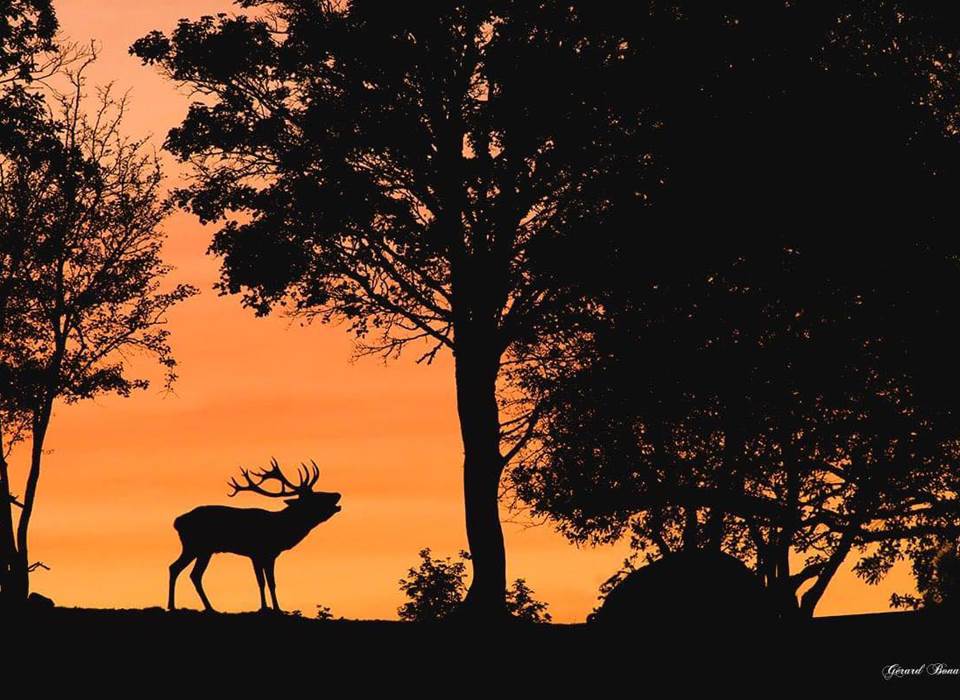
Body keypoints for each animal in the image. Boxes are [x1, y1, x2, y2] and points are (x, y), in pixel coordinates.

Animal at [168, 458, 342, 613]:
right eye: (316, 497)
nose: (337, 494)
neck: (281, 529)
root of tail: (177, 522)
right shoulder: (258, 553)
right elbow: (263, 582)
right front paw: (268, 608)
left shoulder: (268, 555)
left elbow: (270, 583)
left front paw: (275, 608)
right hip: (197, 547)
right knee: (186, 571)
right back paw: (194, 607)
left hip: (201, 550)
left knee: (183, 570)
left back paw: (185, 606)